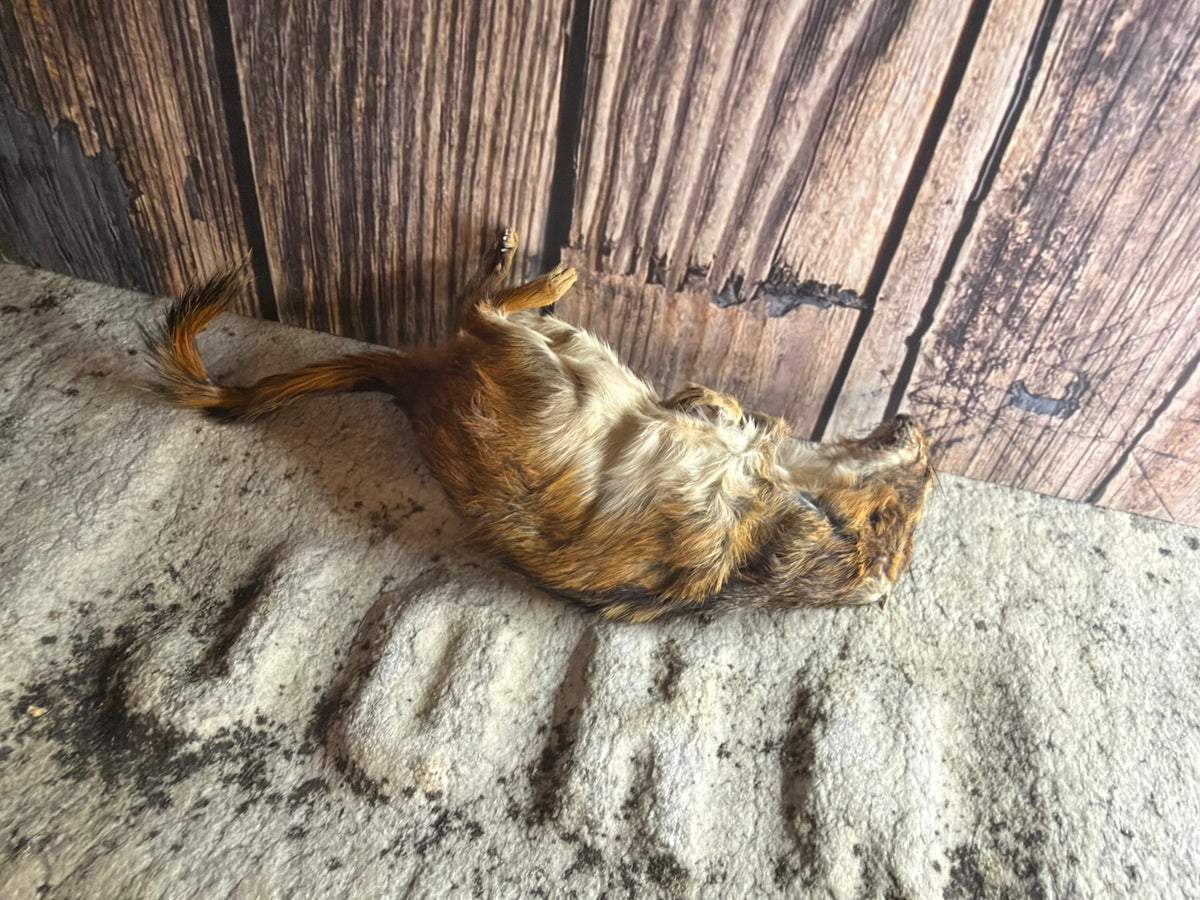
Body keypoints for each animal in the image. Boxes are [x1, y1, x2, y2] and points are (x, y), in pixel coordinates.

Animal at [145, 228, 933, 621]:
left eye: (916, 489)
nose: (914, 419)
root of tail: (415, 385)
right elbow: (738, 414)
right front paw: (719, 403)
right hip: (563, 353)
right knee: (482, 309)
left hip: (543, 375)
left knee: (477, 309)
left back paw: (539, 273)